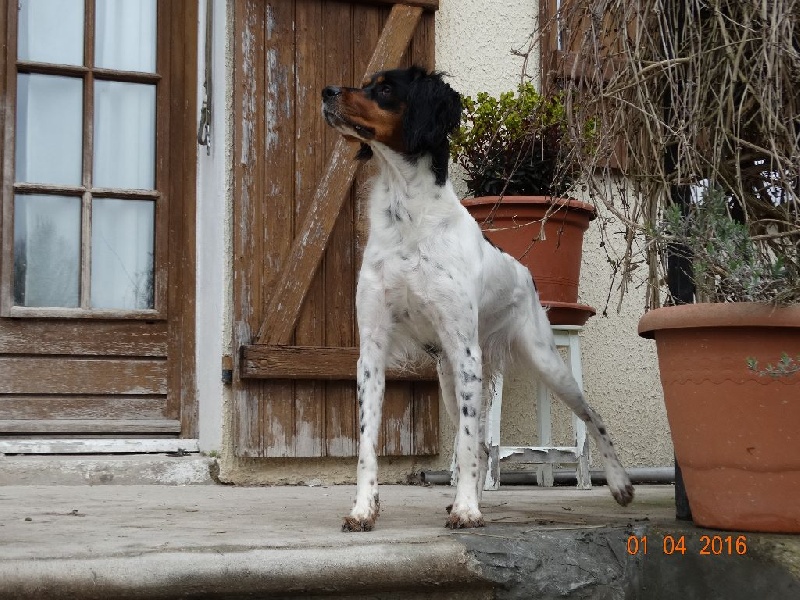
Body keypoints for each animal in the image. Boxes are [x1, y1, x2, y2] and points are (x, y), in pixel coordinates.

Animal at [321, 66, 634, 531]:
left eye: (386, 88)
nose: (326, 91)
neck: (408, 219)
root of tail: (525, 271)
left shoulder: (464, 349)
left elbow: (468, 443)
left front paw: (468, 510)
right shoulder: (372, 352)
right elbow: (368, 445)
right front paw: (363, 509)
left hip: (544, 361)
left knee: (592, 418)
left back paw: (619, 483)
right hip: (451, 379)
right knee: (485, 446)